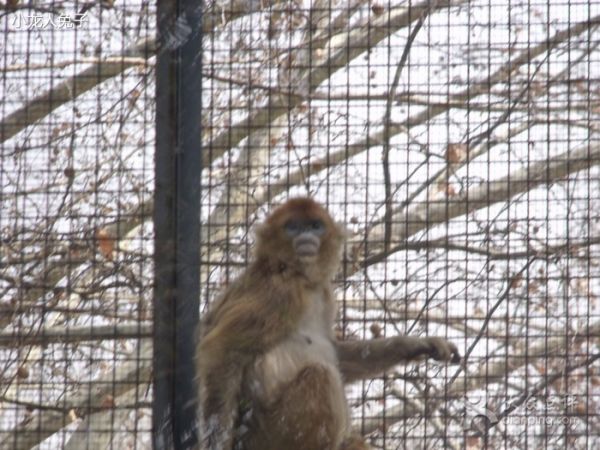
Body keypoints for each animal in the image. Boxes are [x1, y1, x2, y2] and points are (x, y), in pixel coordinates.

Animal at [196, 198, 460, 450]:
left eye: (315, 226)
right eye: (293, 227)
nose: (306, 236)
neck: (300, 278)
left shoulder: (322, 294)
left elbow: (337, 354)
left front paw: (414, 345)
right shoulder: (280, 292)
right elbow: (222, 349)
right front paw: (217, 441)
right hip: (267, 436)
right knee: (319, 375)